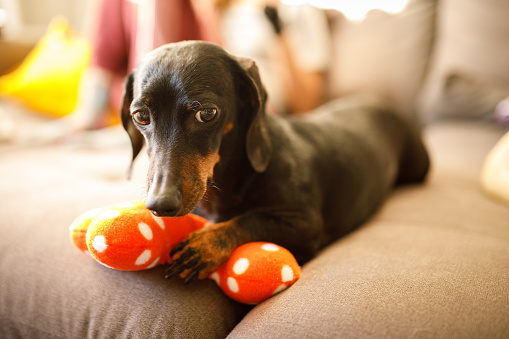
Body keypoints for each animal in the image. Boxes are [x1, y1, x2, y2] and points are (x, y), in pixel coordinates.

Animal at [121, 40, 426, 284]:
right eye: (141, 116)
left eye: (206, 113)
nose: (160, 205)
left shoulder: (305, 227)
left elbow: (250, 220)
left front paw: (207, 244)